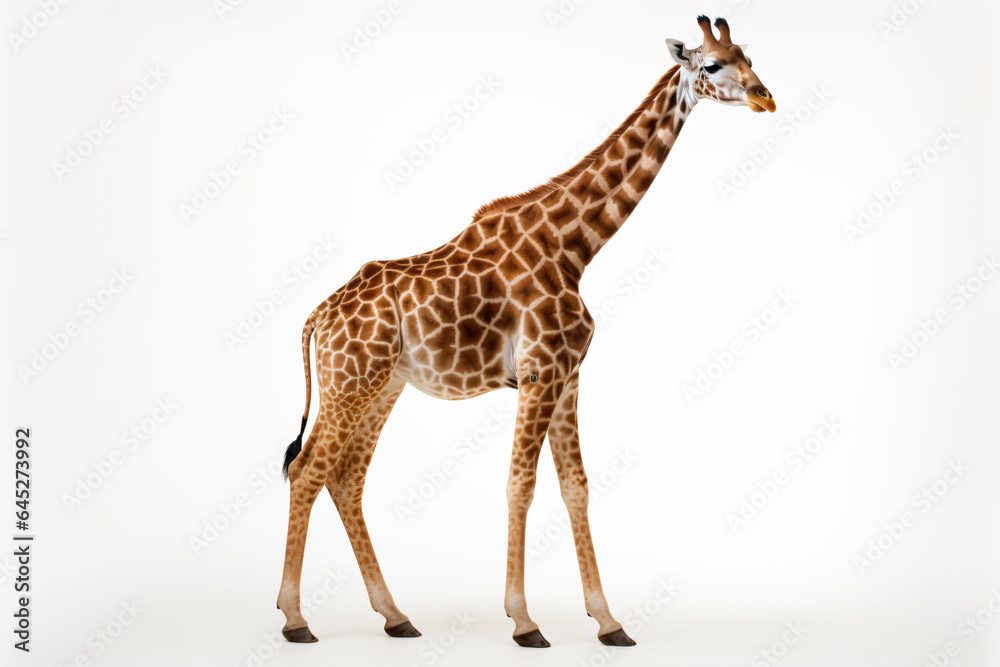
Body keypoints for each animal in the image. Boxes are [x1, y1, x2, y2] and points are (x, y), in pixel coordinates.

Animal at [276, 15, 774, 648]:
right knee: (308, 469)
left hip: (383, 384)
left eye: (749, 56)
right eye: (711, 65)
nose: (766, 98)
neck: (576, 247)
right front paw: (524, 620)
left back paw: (395, 615)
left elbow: (576, 486)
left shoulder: (569, 375)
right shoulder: (539, 372)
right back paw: (295, 619)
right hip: (350, 380)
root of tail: (319, 313)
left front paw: (609, 622)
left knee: (345, 476)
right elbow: (521, 485)